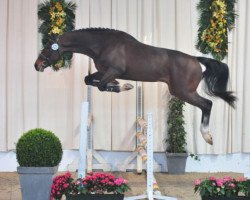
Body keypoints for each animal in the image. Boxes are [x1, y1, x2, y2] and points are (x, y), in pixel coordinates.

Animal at [33, 27, 236, 145]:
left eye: (46, 48)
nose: (37, 65)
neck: (103, 44)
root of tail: (196, 59)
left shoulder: (114, 70)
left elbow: (101, 86)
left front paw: (124, 86)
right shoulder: (103, 71)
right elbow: (88, 80)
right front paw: (120, 85)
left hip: (183, 91)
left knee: (207, 104)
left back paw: (207, 136)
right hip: (181, 91)